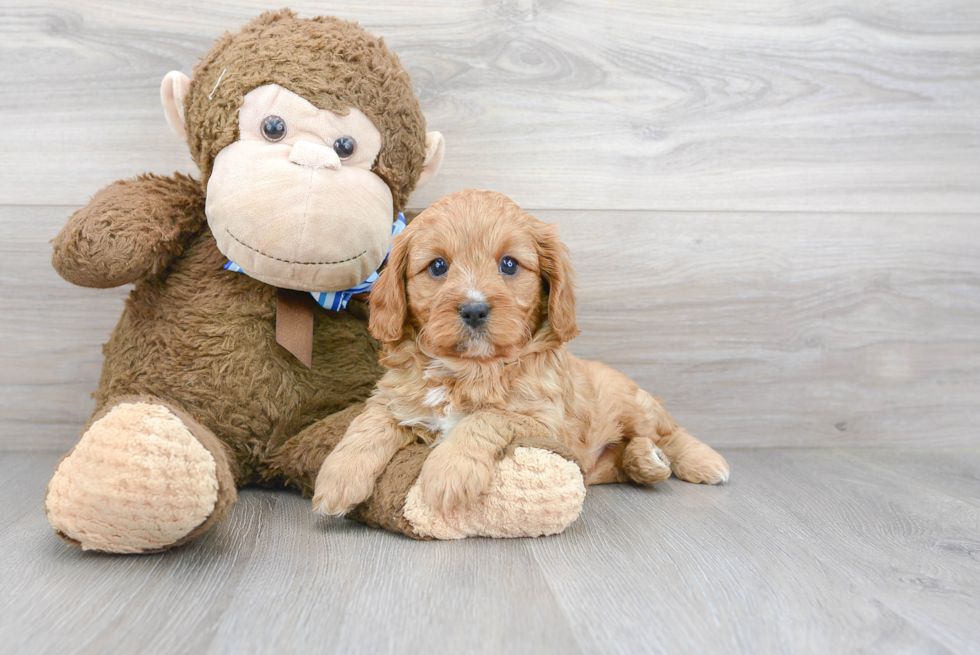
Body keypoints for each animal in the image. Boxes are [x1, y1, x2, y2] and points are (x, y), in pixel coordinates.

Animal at [314, 190, 728, 516]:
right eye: (438, 266)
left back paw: (703, 461)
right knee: (631, 458)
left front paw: (449, 471)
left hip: (634, 405)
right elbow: (368, 424)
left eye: (509, 264)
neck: (469, 368)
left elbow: (484, 418)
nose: (474, 309)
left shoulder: (546, 422)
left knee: (670, 431)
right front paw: (337, 479)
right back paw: (644, 459)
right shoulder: (394, 398)